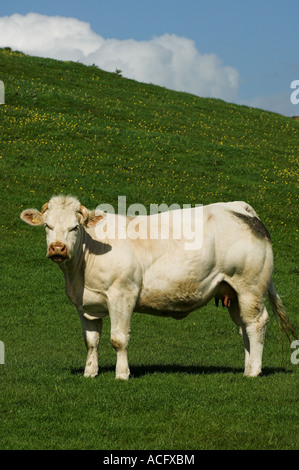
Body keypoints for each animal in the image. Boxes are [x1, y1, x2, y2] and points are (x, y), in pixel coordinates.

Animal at [19, 195, 296, 378]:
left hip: (250, 286)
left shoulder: (122, 295)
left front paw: (122, 374)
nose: (58, 248)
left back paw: (254, 372)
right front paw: (90, 373)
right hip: (233, 292)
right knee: (244, 328)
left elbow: (118, 339)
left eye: (75, 227)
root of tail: (238, 208)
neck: (80, 272)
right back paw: (247, 368)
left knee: (256, 324)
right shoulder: (85, 304)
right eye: (48, 226)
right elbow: (91, 341)